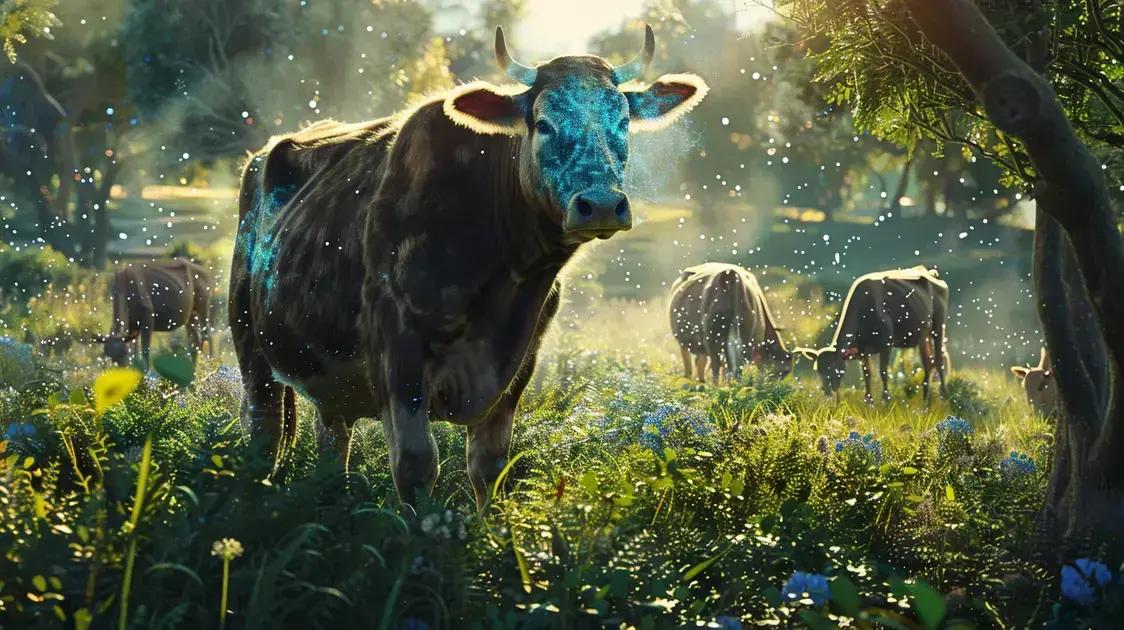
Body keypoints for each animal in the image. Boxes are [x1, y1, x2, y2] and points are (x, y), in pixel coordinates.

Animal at [228, 26, 708, 507]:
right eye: (544, 123)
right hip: (251, 346)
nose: (603, 204)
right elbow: (416, 466)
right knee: (263, 431)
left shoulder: (520, 358)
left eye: (623, 121)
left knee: (332, 443)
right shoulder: (396, 352)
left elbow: (489, 465)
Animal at [795, 266, 949, 404]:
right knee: (928, 362)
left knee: (939, 360)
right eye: (818, 370)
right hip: (923, 333)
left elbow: (883, 371)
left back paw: (944, 396)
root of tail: (930, 273)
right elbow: (867, 374)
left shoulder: (886, 343)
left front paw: (886, 399)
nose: (827, 391)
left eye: (834, 368)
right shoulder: (863, 350)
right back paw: (925, 402)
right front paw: (869, 401)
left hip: (938, 324)